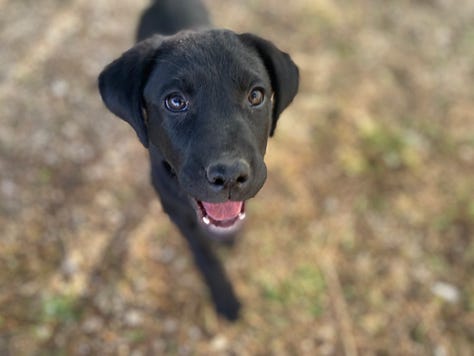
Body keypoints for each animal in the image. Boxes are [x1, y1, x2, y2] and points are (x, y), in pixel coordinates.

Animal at [98, 0, 298, 320]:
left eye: (256, 96)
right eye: (176, 101)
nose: (229, 176)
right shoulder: (177, 212)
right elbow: (205, 256)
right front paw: (225, 298)